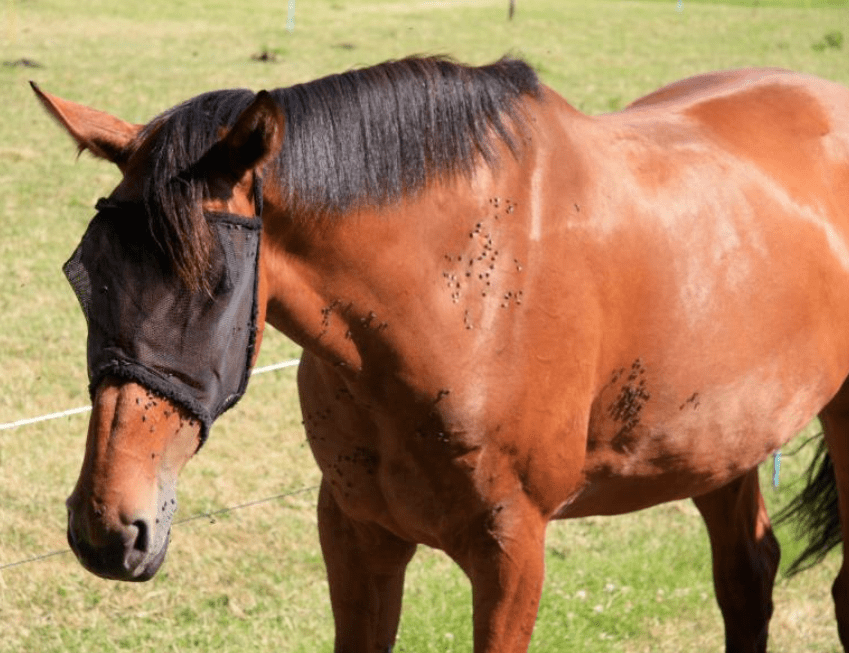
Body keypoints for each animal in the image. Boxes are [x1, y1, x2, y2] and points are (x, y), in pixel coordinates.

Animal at [32, 56, 849, 652]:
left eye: (214, 286)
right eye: (82, 274)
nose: (107, 528)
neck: (455, 310)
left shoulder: (511, 551)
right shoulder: (356, 533)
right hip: (721, 445)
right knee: (747, 580)